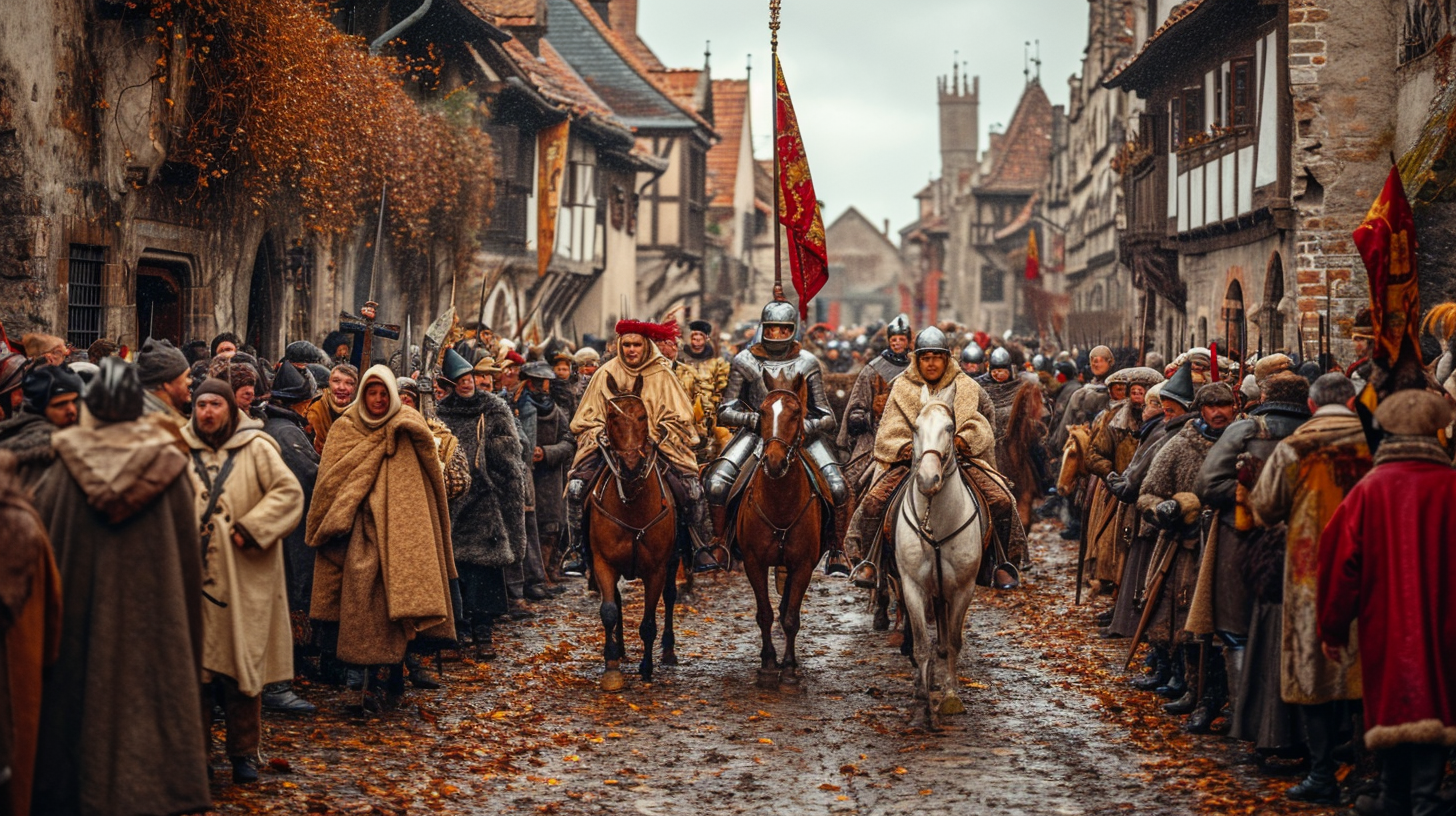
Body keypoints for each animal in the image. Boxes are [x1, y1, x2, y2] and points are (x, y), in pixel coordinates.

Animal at [582, 375, 678, 687]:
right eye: (612, 417)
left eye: (643, 416)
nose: (631, 465)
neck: (633, 503)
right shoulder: (603, 562)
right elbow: (609, 611)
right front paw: (611, 666)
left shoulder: (656, 569)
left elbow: (648, 622)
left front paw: (646, 668)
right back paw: (621, 649)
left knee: (670, 596)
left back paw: (668, 651)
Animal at [733, 373, 827, 690]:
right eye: (762, 412)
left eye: (796, 413)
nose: (774, 462)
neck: (780, 505)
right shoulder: (754, 562)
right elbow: (765, 614)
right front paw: (768, 665)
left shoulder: (803, 565)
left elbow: (790, 618)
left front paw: (787, 669)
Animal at [891, 384, 984, 728]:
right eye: (915, 428)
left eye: (950, 428)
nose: (928, 480)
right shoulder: (912, 587)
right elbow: (920, 646)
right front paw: (924, 707)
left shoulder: (963, 589)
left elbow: (953, 642)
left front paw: (950, 696)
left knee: (944, 643)